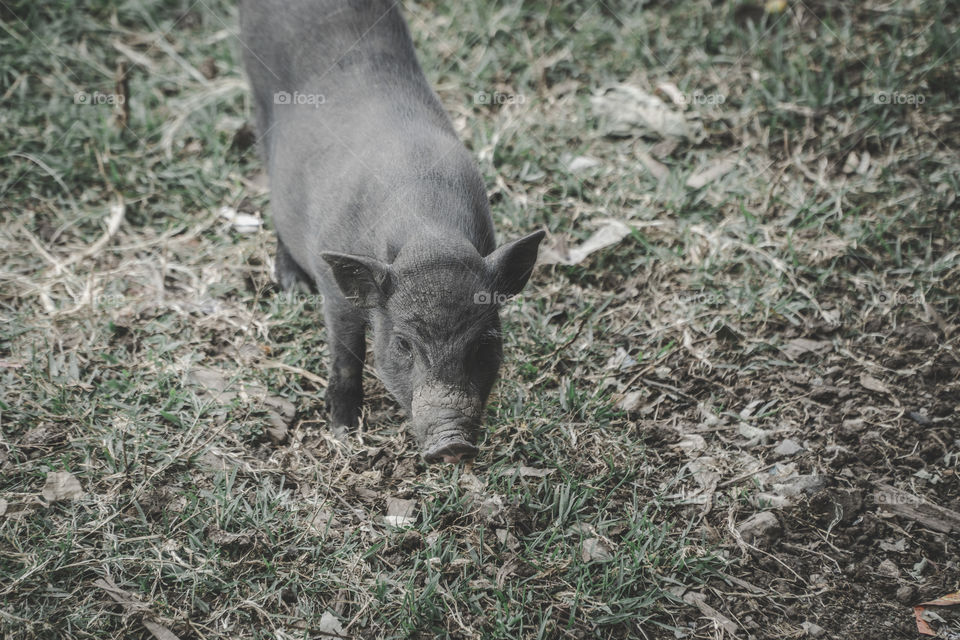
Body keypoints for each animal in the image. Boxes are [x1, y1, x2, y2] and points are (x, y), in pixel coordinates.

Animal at [240, 0, 545, 463]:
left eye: (484, 343)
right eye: (403, 344)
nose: (452, 443)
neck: (429, 237)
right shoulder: (336, 291)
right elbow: (347, 354)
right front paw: (343, 431)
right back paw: (291, 285)